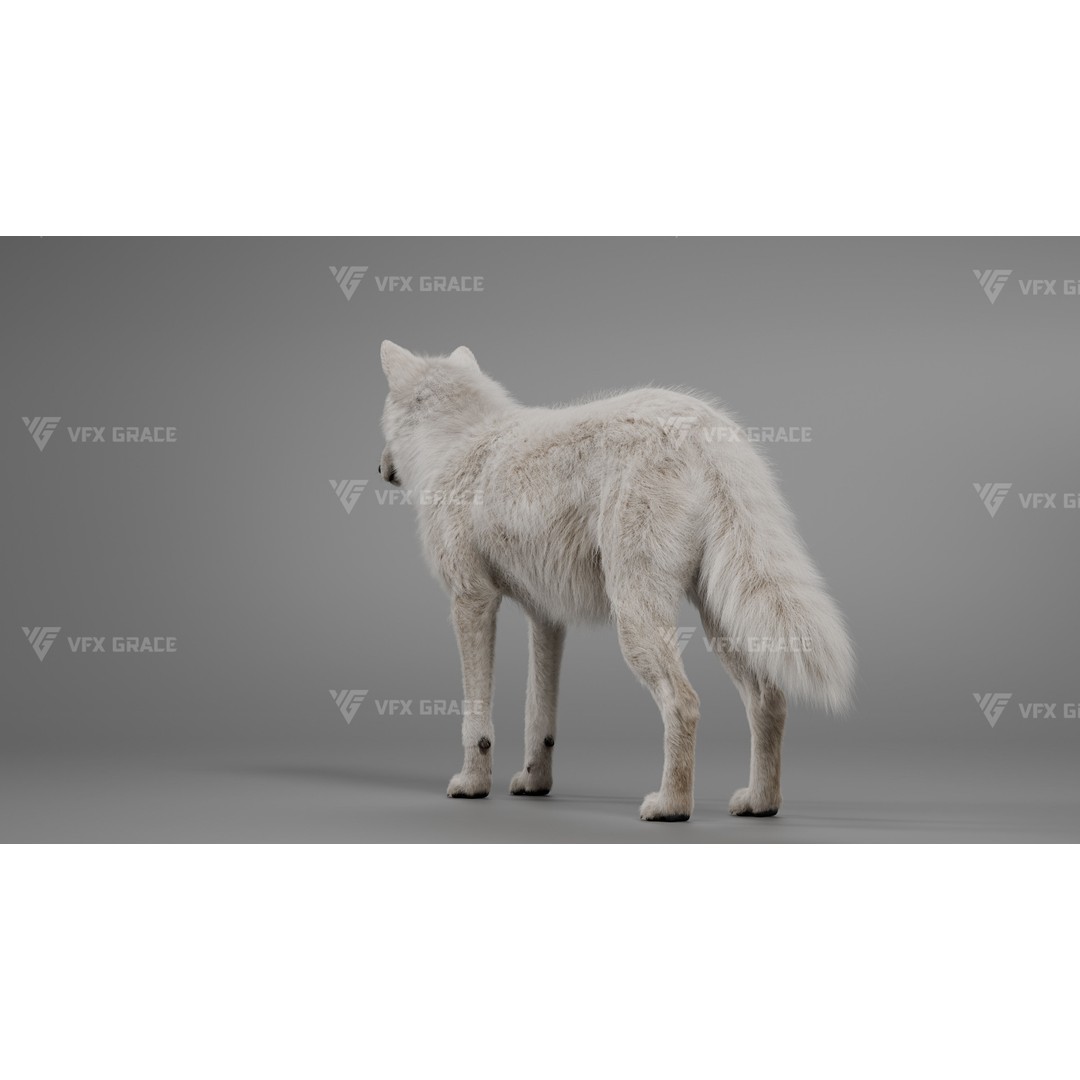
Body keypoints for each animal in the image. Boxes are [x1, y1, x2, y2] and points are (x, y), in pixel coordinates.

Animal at [378, 340, 854, 821]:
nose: (379, 467)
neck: (458, 441)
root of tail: (704, 429)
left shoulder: (471, 601)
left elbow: (476, 717)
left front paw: (472, 784)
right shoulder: (546, 617)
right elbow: (538, 716)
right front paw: (534, 783)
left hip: (636, 620)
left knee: (684, 703)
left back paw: (671, 806)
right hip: (719, 623)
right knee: (769, 700)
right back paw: (760, 802)